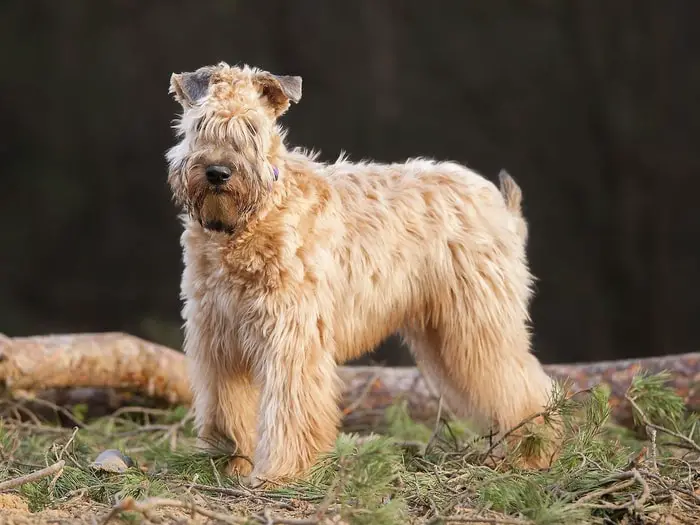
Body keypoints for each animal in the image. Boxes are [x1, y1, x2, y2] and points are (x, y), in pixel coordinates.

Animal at [164, 63, 556, 486]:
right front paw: (226, 462)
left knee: (526, 385)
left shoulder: (290, 336)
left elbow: (289, 409)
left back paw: (535, 452)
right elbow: (225, 409)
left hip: (479, 323)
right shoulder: (217, 338)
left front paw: (281, 473)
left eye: (251, 128)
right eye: (200, 124)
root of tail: (499, 203)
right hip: (446, 335)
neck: (249, 224)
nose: (218, 172)